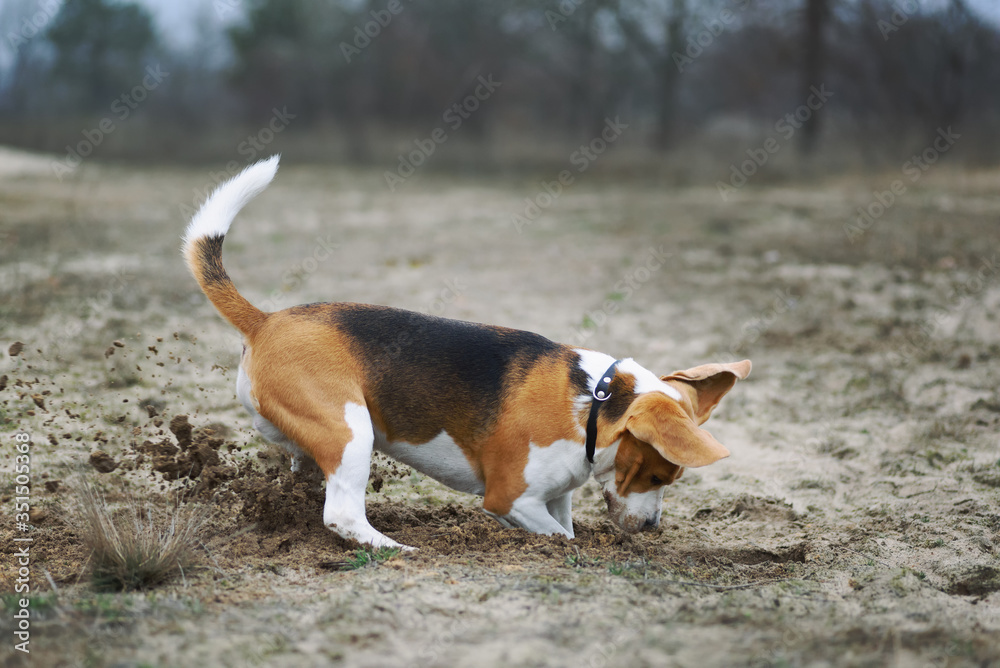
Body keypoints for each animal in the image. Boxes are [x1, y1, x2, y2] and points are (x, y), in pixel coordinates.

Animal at [182, 157, 752, 548]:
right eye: (657, 476)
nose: (651, 528)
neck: (595, 401)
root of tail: (266, 319)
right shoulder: (511, 498)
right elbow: (559, 537)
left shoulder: (558, 493)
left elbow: (566, 523)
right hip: (351, 430)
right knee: (342, 514)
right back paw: (394, 548)